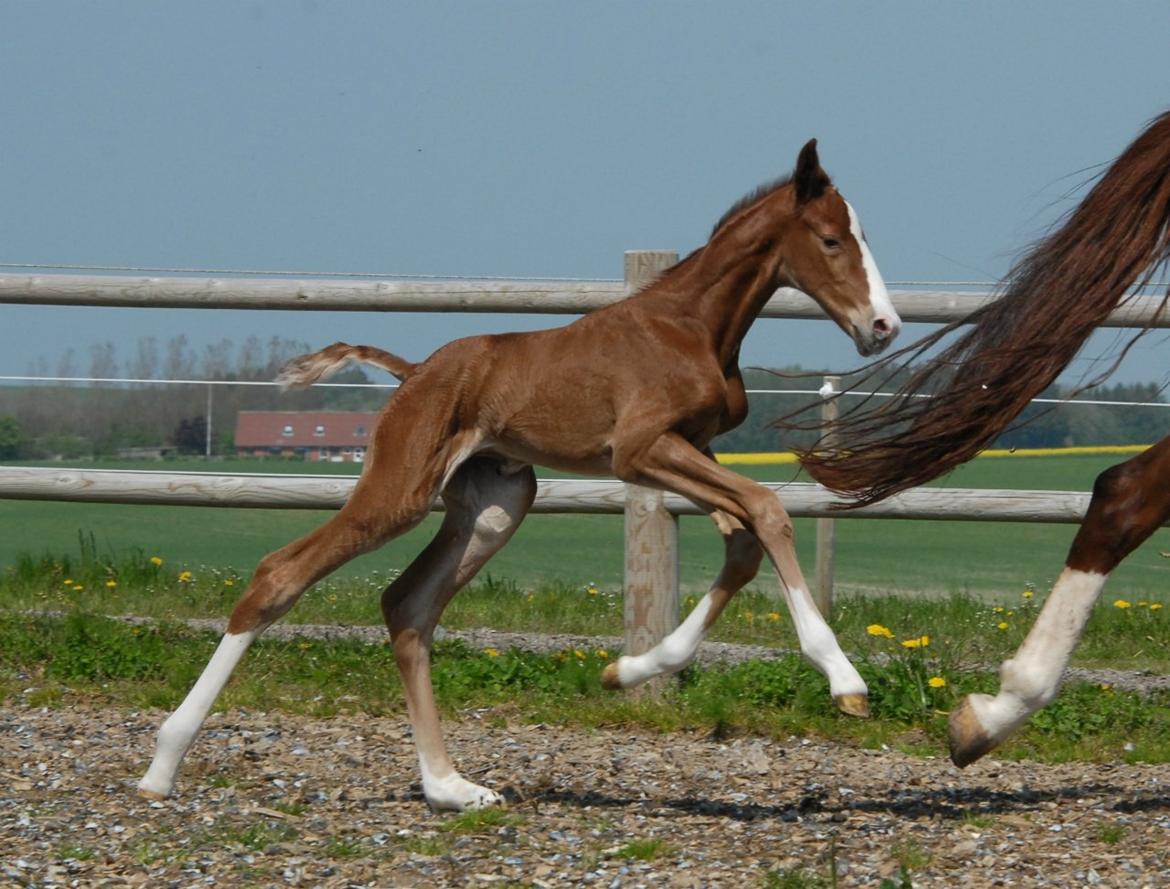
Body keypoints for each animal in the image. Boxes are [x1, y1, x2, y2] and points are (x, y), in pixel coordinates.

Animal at [141, 140, 898, 814]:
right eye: (832, 239)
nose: (884, 325)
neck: (691, 326)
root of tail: (414, 374)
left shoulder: (691, 448)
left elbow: (742, 543)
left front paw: (628, 670)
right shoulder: (639, 450)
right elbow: (767, 510)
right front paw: (843, 676)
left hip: (498, 501)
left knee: (407, 605)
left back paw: (450, 787)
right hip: (400, 491)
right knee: (281, 574)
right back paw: (163, 764)